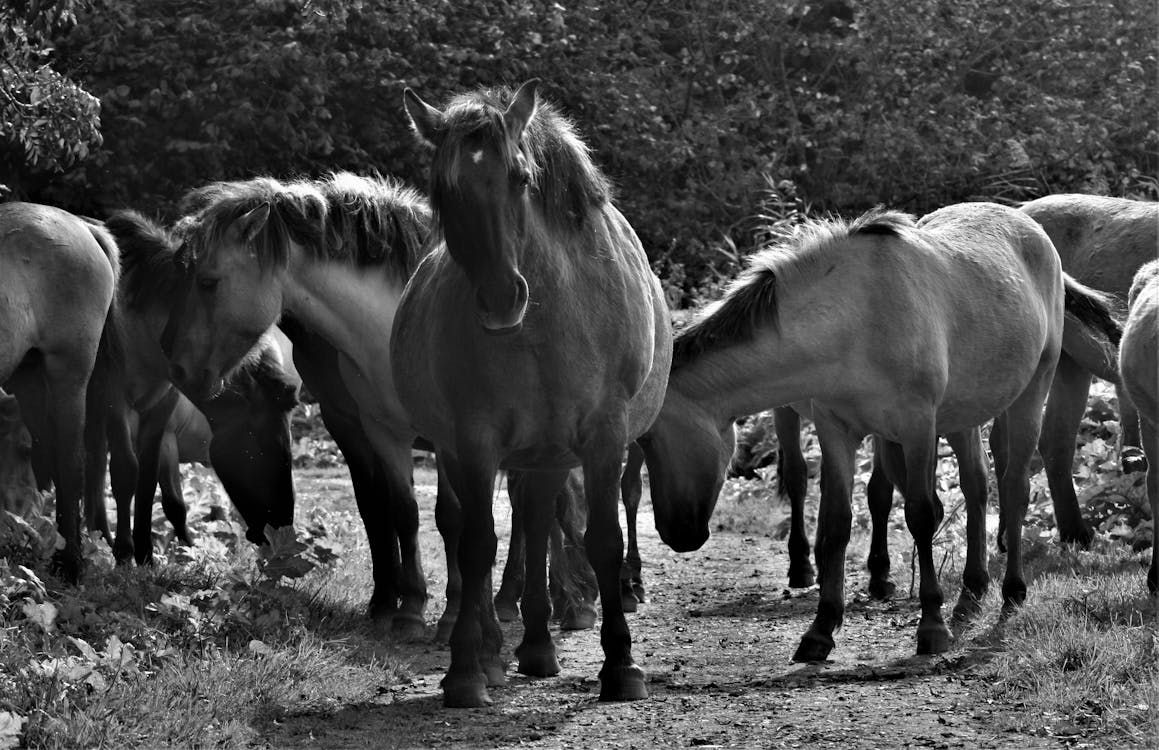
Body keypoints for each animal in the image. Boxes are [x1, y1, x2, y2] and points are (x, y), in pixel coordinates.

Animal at [396, 79, 672, 709]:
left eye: (520, 178)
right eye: (443, 191)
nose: (502, 297)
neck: (544, 324)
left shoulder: (604, 435)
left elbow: (602, 539)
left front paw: (620, 667)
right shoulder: (474, 442)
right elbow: (478, 544)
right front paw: (466, 672)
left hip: (548, 454)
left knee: (540, 522)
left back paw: (539, 646)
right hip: (476, 454)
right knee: (488, 529)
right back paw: (498, 651)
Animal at [639, 204, 1117, 663]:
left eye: (648, 438)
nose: (677, 534)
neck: (854, 317)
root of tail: (1030, 226)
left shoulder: (917, 425)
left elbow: (922, 514)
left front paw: (931, 626)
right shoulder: (837, 430)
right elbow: (836, 523)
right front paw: (821, 629)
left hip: (1030, 393)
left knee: (1014, 489)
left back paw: (1012, 592)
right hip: (964, 415)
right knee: (978, 487)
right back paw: (971, 592)